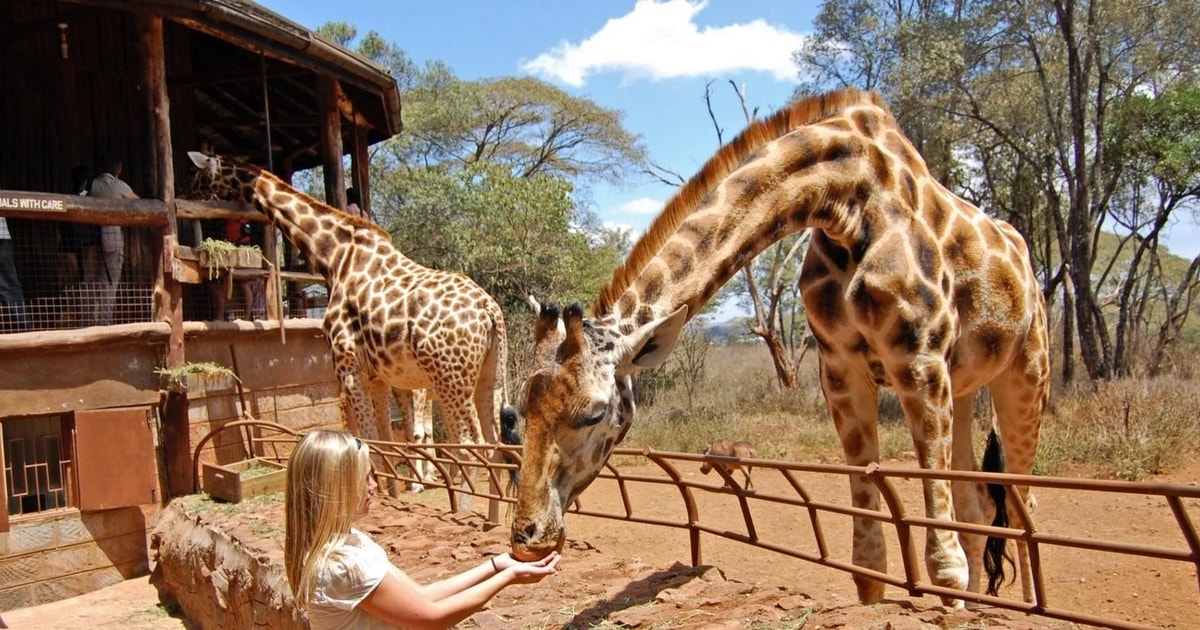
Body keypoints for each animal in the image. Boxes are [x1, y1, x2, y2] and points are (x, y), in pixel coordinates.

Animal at [511, 88, 1046, 604]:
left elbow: (943, 562)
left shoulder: (920, 360)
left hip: (1024, 373)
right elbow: (868, 559)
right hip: (965, 385)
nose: (527, 536)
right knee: (979, 503)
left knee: (1024, 506)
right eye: (520, 411)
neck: (847, 201)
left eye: (595, 413)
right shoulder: (841, 372)